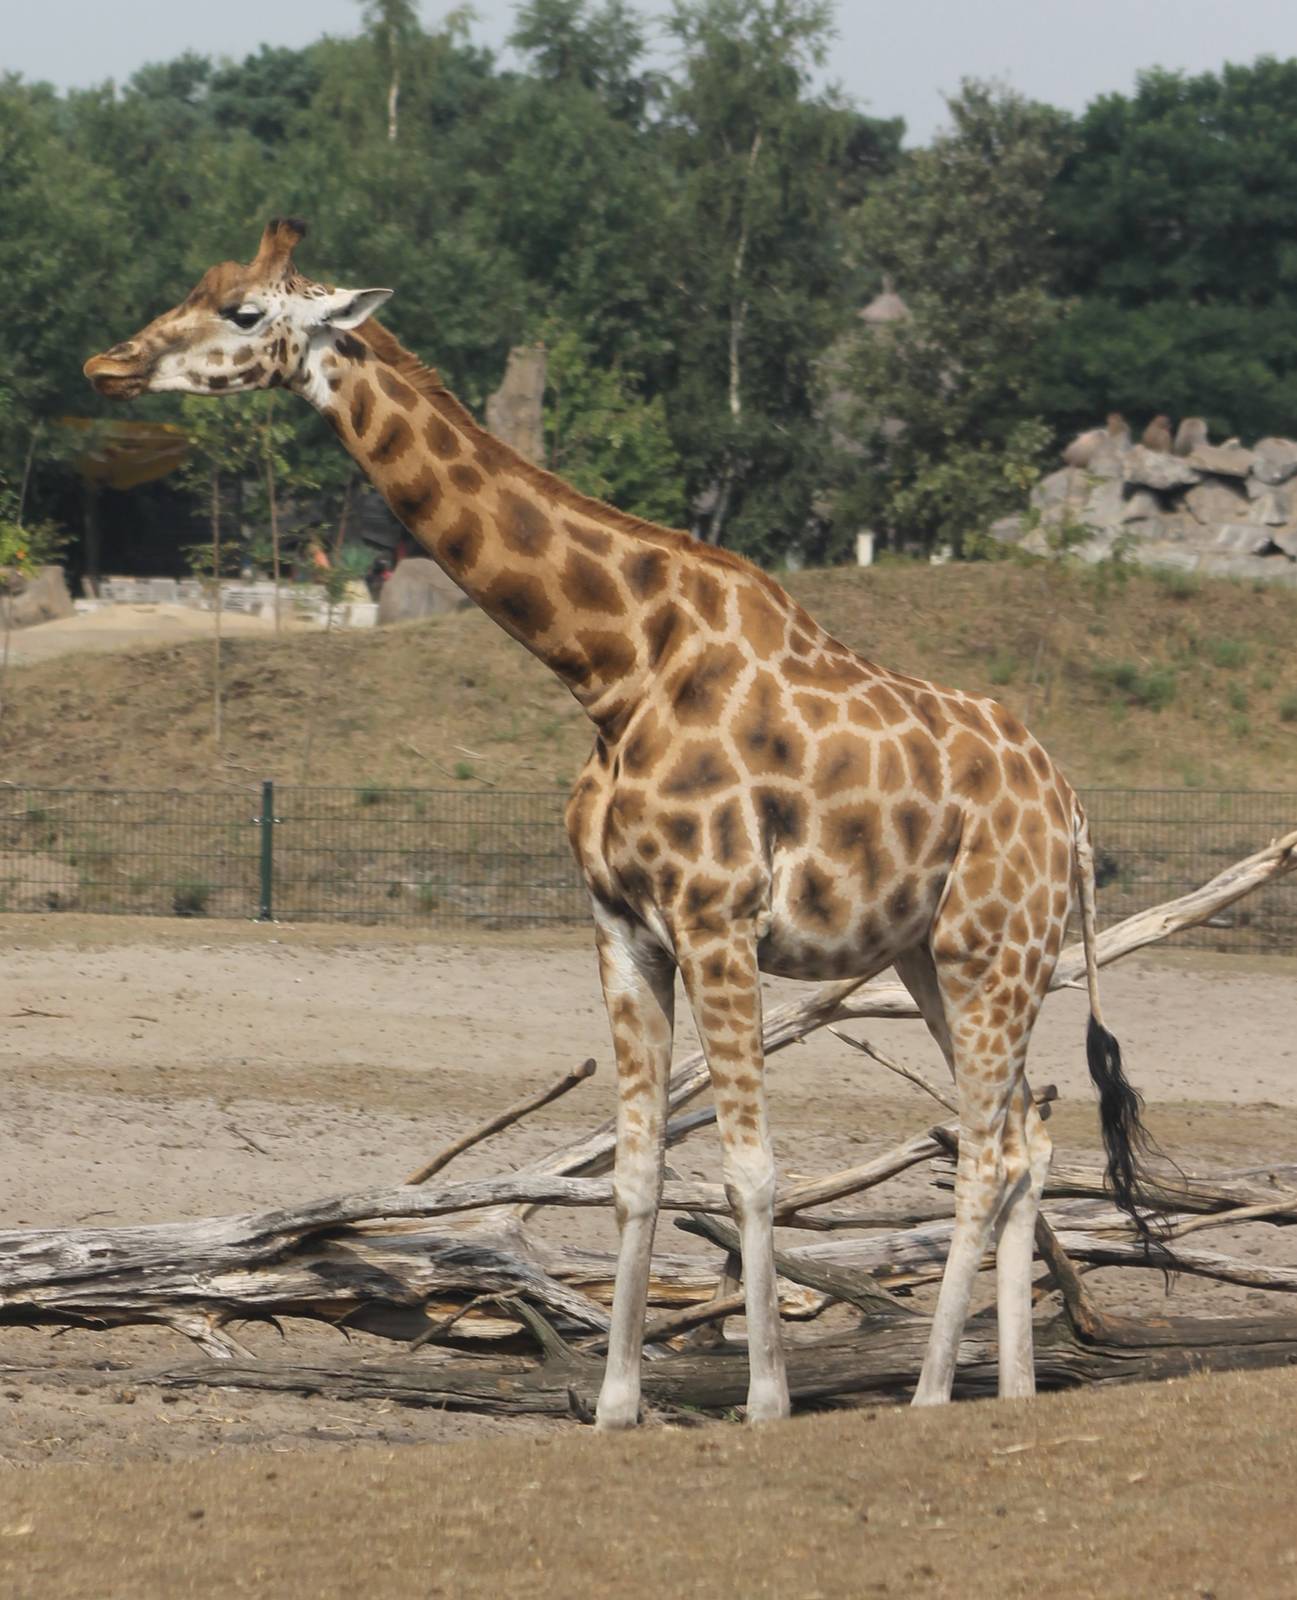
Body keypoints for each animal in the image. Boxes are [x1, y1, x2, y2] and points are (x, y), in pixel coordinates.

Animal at [85, 218, 1159, 1426]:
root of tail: (1074, 814)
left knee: (981, 1150)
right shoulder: (620, 924)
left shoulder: (716, 918)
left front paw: (766, 1402)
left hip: (993, 949)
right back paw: (1011, 1391)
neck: (612, 665)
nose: (109, 365)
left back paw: (931, 1394)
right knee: (1024, 1138)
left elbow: (751, 1168)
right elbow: (635, 1169)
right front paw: (613, 1405)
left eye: (245, 313)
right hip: (939, 956)